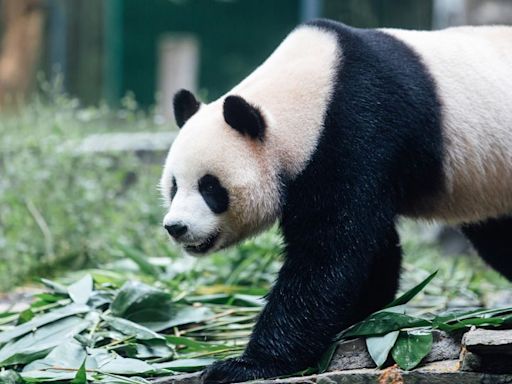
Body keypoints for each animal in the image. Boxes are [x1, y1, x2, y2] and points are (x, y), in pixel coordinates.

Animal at [159, 18, 512, 384]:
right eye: (174, 185)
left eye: (210, 188)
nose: (176, 227)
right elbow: (371, 248)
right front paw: (362, 316)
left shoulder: (360, 128)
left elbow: (329, 252)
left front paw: (244, 365)